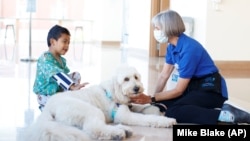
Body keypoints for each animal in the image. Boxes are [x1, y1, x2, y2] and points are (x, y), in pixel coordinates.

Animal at [22, 65, 177, 140]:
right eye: (126, 79)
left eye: (136, 77)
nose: (136, 88)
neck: (115, 90)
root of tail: (48, 108)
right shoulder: (124, 115)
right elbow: (145, 118)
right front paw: (166, 121)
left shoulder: (129, 105)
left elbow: (141, 107)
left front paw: (154, 108)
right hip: (89, 110)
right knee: (93, 129)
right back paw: (117, 133)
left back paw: (124, 130)